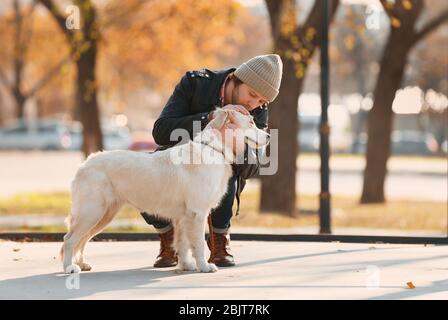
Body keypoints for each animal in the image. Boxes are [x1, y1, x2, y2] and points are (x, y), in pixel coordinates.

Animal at [60, 109, 268, 274]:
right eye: (250, 122)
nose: (268, 136)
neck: (214, 148)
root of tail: (84, 163)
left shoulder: (184, 216)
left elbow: (183, 242)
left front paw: (186, 265)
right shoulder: (197, 213)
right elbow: (199, 243)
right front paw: (203, 266)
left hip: (104, 214)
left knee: (82, 239)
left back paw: (81, 264)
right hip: (92, 211)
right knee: (70, 239)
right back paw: (69, 267)